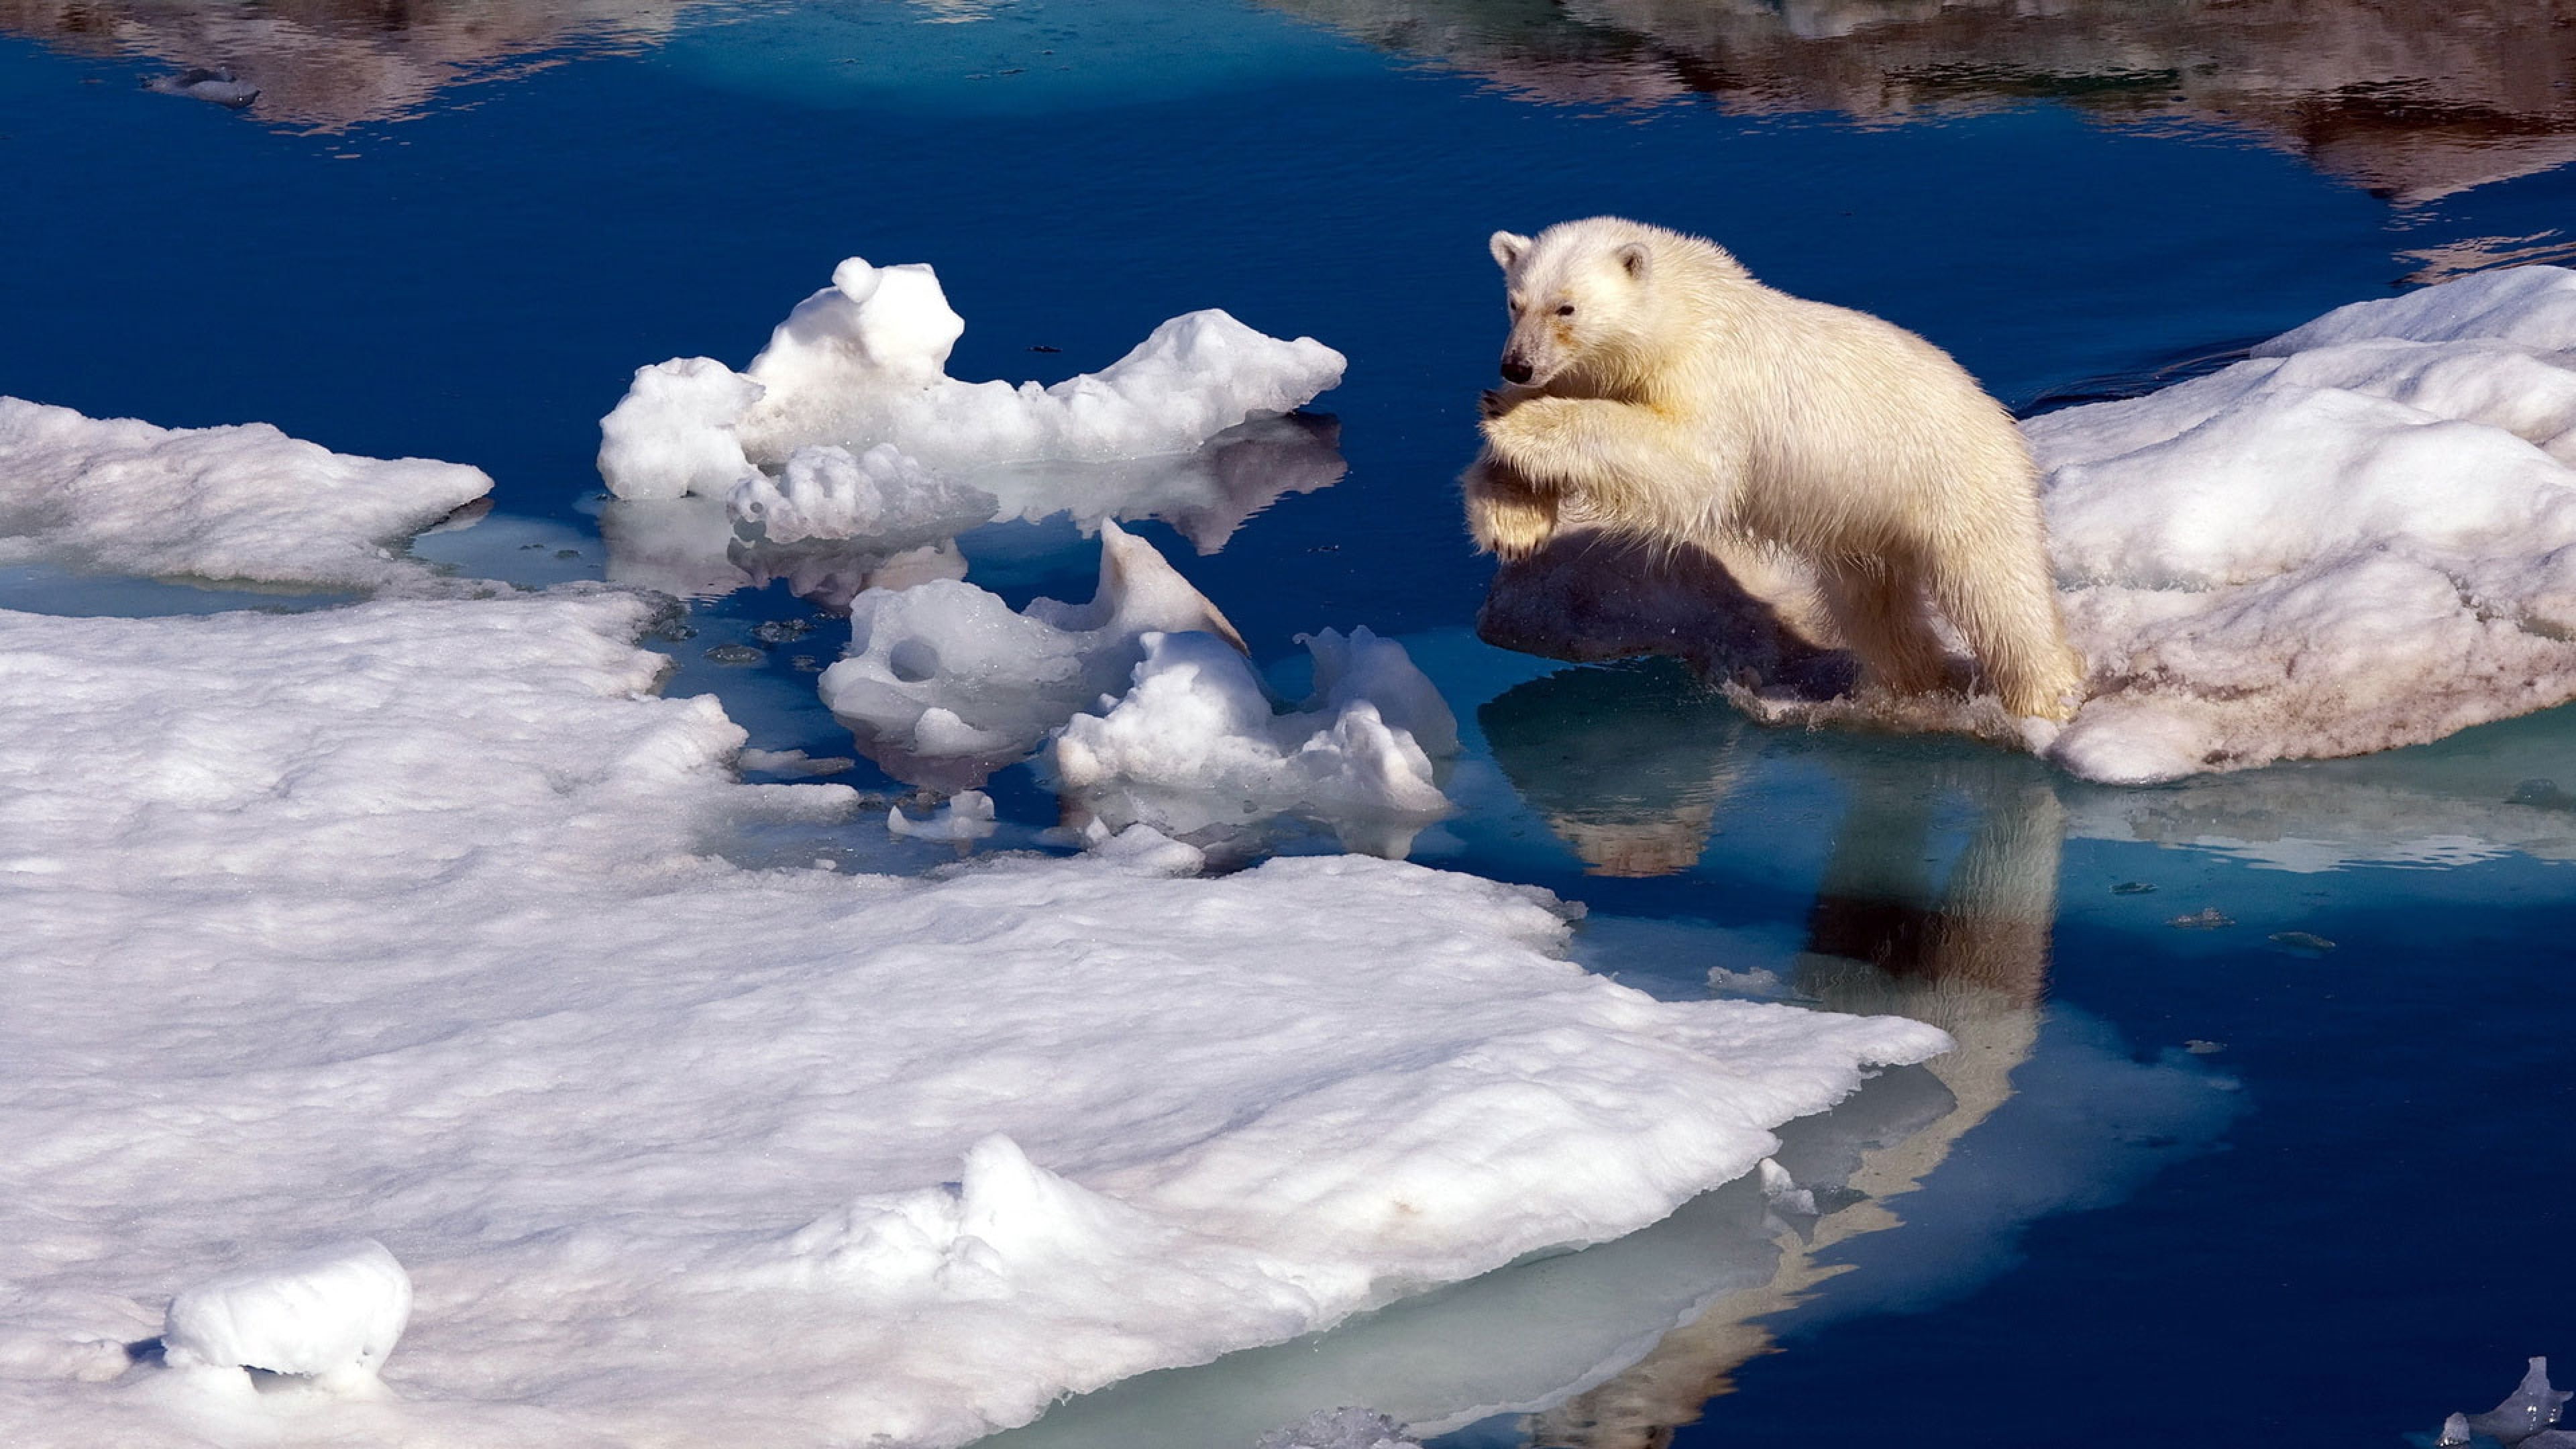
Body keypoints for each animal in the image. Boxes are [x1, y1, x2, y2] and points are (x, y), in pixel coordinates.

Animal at [1464, 216, 2085, 723]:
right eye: (1515, 302)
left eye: (1566, 307)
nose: (1516, 365)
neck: (1683, 312)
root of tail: (2000, 419)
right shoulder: (1597, 371)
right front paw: (1513, 523)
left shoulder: (1709, 374)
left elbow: (1689, 464)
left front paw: (1515, 418)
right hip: (1865, 521)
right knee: (1873, 605)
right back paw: (1911, 685)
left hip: (1956, 482)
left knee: (1999, 592)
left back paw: (2046, 697)